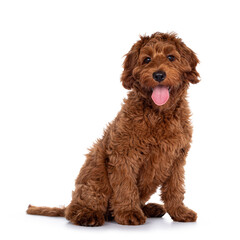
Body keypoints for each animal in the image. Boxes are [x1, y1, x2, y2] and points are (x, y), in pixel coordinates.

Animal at [26, 32, 199, 227]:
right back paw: (88, 214)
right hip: (95, 169)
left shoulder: (177, 159)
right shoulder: (124, 155)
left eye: (171, 57)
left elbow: (175, 189)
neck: (158, 114)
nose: (159, 74)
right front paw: (129, 212)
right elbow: (126, 186)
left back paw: (149, 208)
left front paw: (179, 212)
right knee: (77, 209)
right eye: (147, 59)